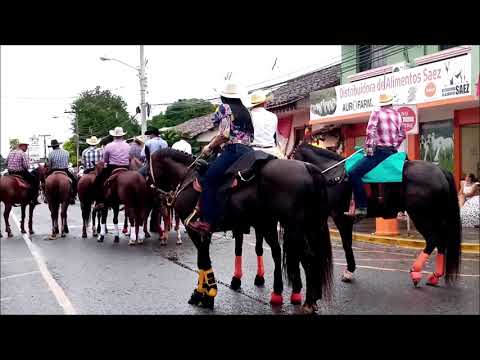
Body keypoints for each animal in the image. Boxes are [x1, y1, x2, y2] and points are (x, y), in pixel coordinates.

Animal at [151, 148, 334, 314]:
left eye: (148, 166)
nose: (158, 199)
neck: (187, 178)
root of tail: (308, 168)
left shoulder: (194, 229)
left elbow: (203, 261)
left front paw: (206, 295)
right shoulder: (205, 232)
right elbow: (203, 261)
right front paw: (202, 293)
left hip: (293, 228)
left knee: (308, 258)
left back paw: (307, 301)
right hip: (292, 226)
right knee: (296, 255)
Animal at [292, 143, 462, 286]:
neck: (333, 174)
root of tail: (441, 172)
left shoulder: (341, 218)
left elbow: (346, 244)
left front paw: (349, 271)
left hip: (422, 216)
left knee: (433, 240)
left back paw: (416, 272)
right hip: (435, 216)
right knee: (441, 242)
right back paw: (434, 276)